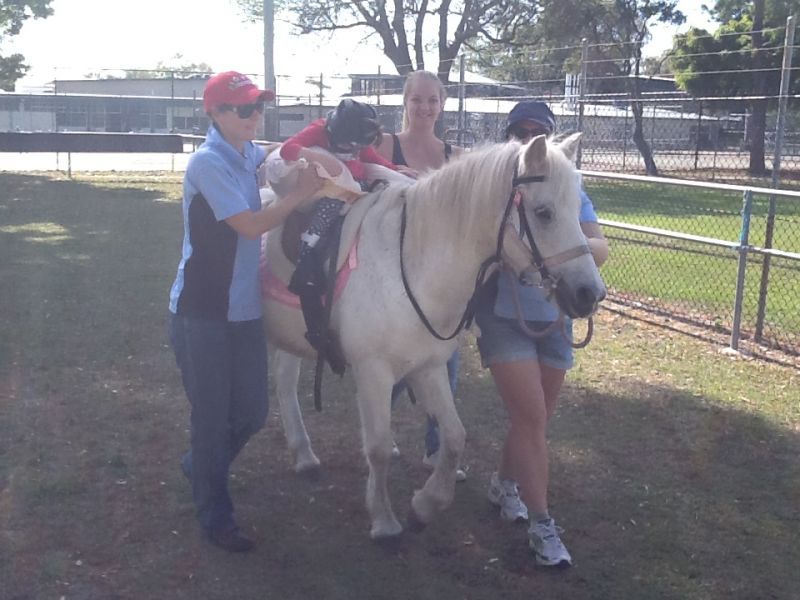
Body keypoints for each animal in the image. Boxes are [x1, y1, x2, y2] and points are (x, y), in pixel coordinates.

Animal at [262, 133, 606, 540]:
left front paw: (424, 506)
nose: (590, 294)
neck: (411, 264)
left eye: (578, 209)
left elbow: (455, 436)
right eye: (544, 213)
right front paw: (385, 522)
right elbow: (378, 448)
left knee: (285, 384)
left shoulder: (429, 367)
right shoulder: (373, 372)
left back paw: (305, 457)